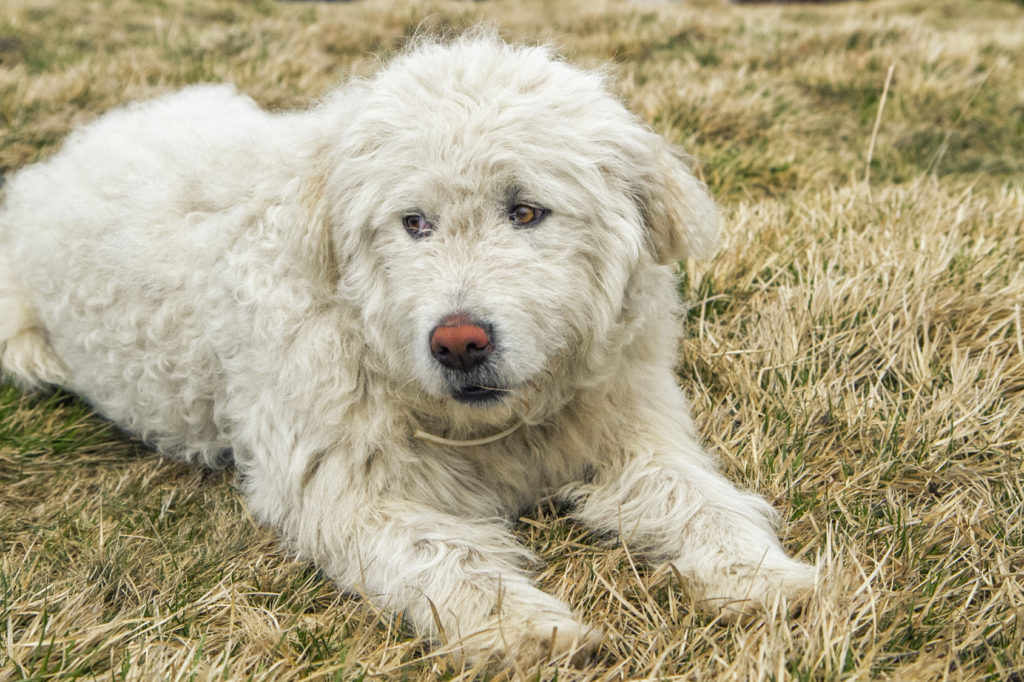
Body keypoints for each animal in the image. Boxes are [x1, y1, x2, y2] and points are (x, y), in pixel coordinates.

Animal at [0, 33, 815, 663]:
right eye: (413, 222)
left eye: (525, 211)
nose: (458, 343)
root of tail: (74, 148)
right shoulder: (348, 491)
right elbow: (449, 555)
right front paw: (522, 629)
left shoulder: (630, 431)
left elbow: (698, 499)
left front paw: (762, 575)